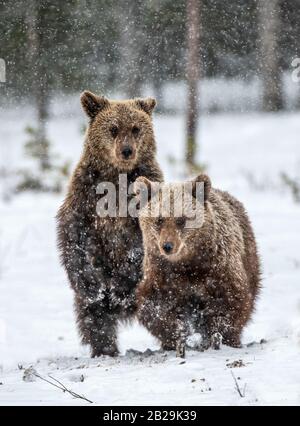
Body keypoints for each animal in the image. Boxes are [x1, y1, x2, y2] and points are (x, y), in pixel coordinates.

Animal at [56, 91, 164, 358]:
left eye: (136, 128)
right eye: (113, 128)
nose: (126, 151)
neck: (117, 178)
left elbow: (142, 242)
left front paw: (121, 286)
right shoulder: (84, 197)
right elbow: (75, 238)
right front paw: (98, 287)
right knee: (93, 317)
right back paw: (105, 348)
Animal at [134, 173, 260, 356]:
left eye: (181, 219)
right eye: (159, 219)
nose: (167, 246)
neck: (187, 264)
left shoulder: (217, 267)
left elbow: (231, 300)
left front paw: (218, 337)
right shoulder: (162, 273)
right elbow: (155, 305)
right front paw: (177, 334)